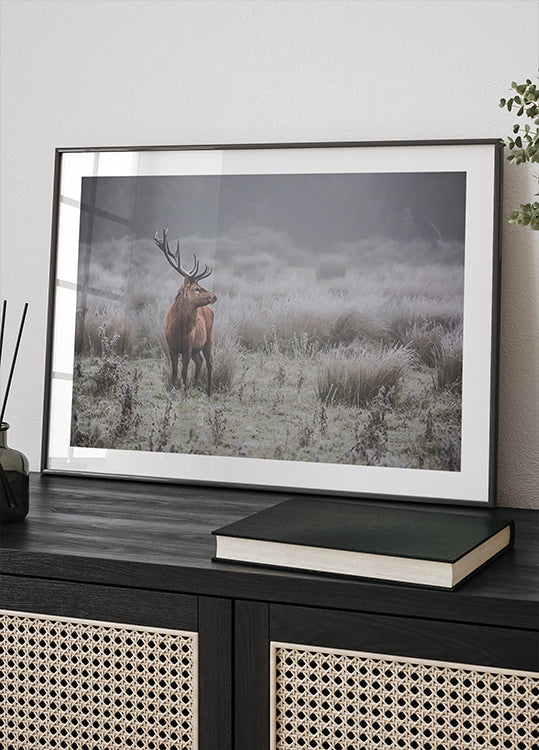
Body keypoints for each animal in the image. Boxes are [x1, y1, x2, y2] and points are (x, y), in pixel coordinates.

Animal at [154, 228, 217, 395]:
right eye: (197, 288)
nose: (214, 296)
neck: (178, 329)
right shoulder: (171, 346)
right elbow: (175, 371)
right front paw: (173, 390)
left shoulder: (188, 346)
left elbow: (183, 371)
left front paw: (183, 392)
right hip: (197, 348)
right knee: (200, 361)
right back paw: (194, 387)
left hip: (208, 338)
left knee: (209, 362)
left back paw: (209, 392)